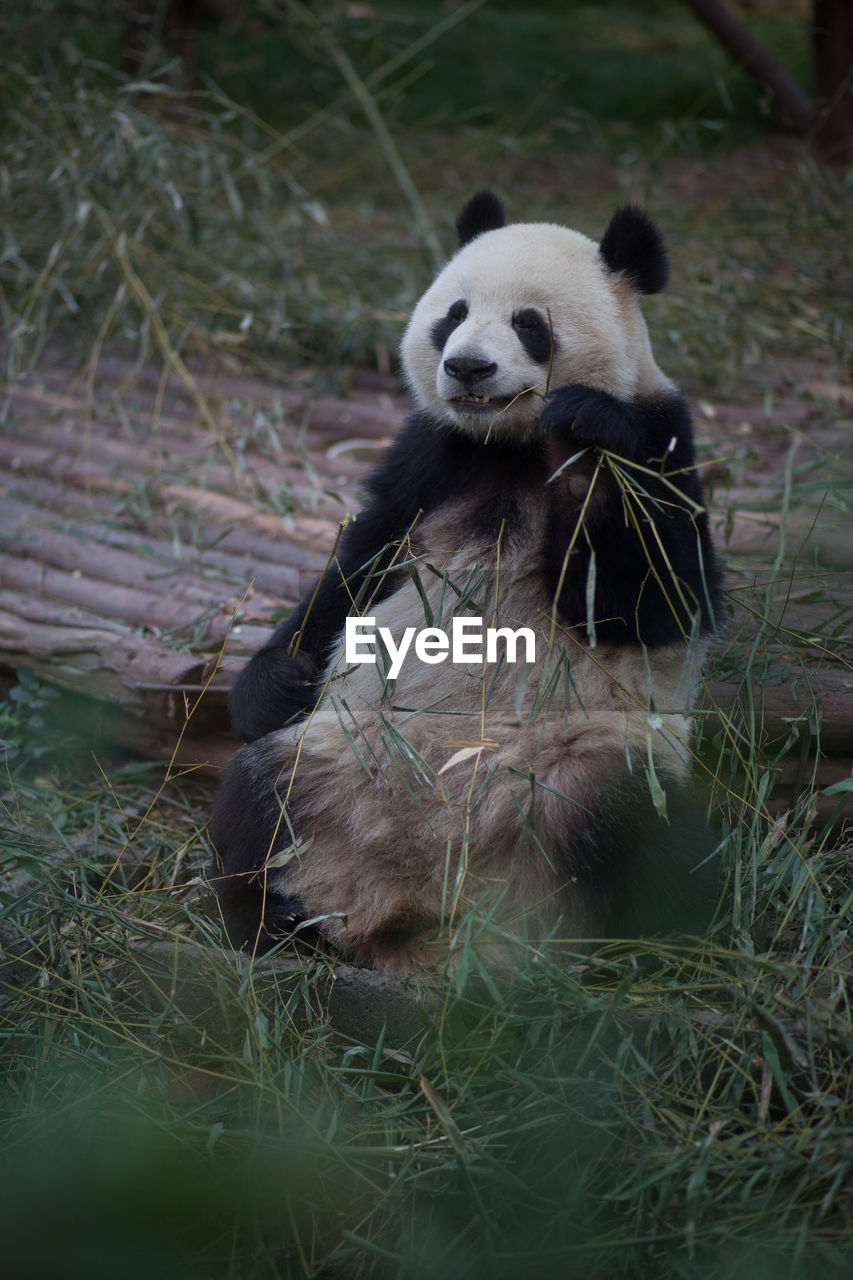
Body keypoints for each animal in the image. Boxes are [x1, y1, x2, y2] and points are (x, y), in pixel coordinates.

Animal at [208, 189, 722, 972]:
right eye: (452, 313)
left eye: (529, 324)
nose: (468, 368)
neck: (509, 446)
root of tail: (423, 902)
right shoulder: (431, 457)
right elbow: (355, 569)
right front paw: (273, 682)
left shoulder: (663, 441)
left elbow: (654, 598)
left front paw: (586, 436)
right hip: (345, 756)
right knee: (258, 796)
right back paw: (279, 923)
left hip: (572, 767)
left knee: (628, 822)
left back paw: (604, 956)